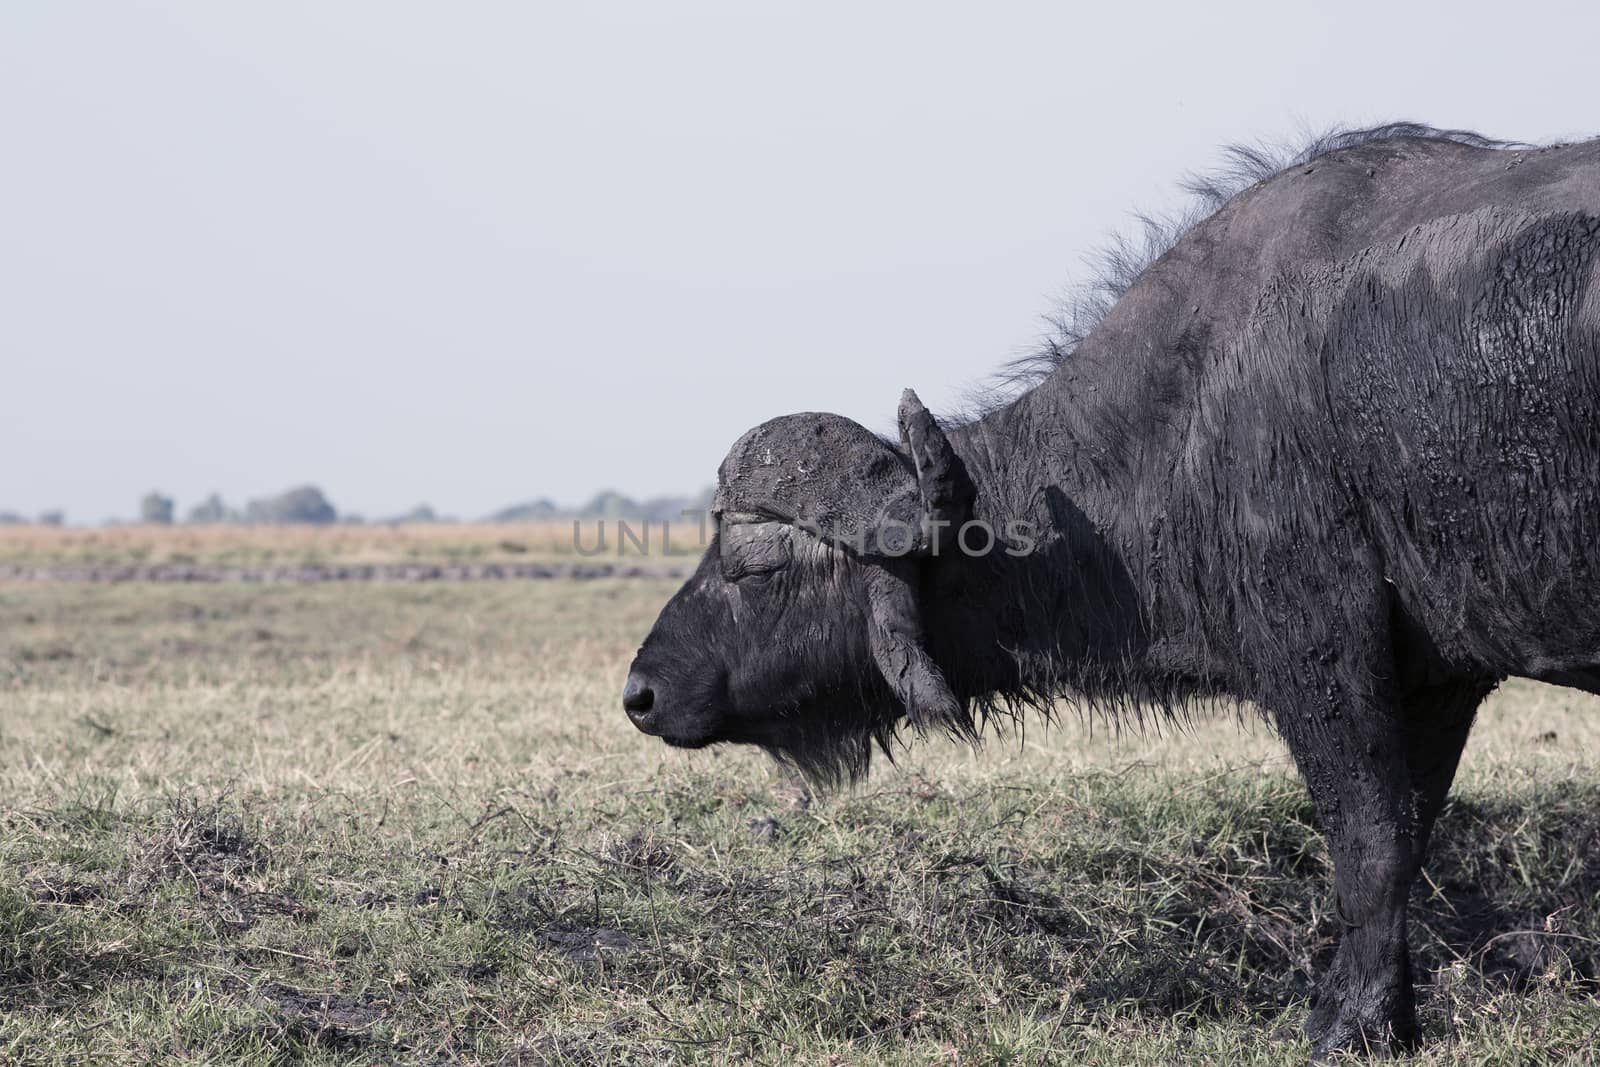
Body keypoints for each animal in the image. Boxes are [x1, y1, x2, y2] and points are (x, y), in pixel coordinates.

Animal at [620, 125, 1600, 1062]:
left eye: (755, 567)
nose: (642, 691)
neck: (1195, 409)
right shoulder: (1436, 678)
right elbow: (1411, 832)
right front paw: (1389, 1015)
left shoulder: (1324, 650)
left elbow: (1369, 842)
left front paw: (1345, 1024)